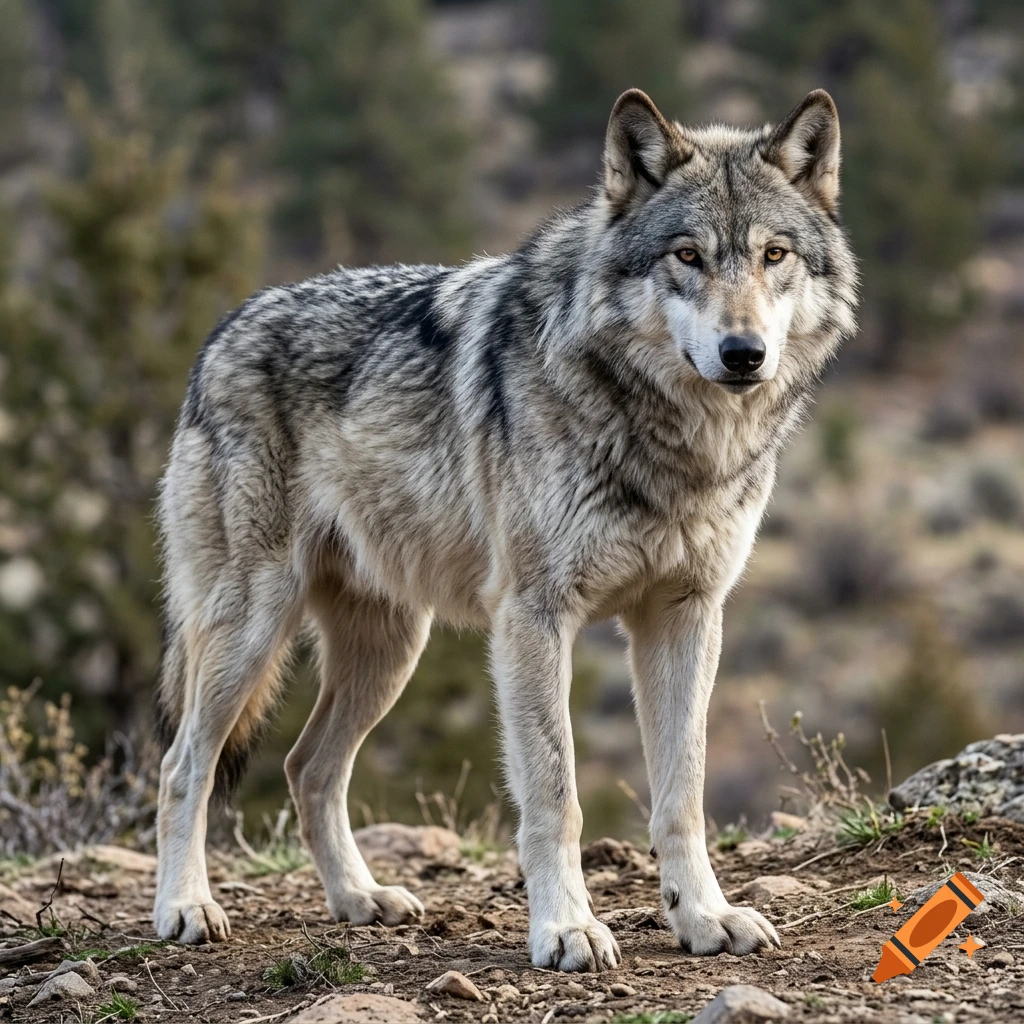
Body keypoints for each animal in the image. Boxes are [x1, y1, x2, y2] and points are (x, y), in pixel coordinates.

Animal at [153, 88, 856, 971]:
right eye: (688, 256)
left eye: (774, 255)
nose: (743, 353)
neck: (671, 439)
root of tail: (218, 334)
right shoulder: (533, 618)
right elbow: (555, 794)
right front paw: (565, 929)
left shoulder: (686, 616)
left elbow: (683, 795)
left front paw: (703, 917)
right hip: (252, 629)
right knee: (184, 764)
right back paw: (184, 907)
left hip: (391, 649)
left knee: (306, 765)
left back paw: (360, 899)